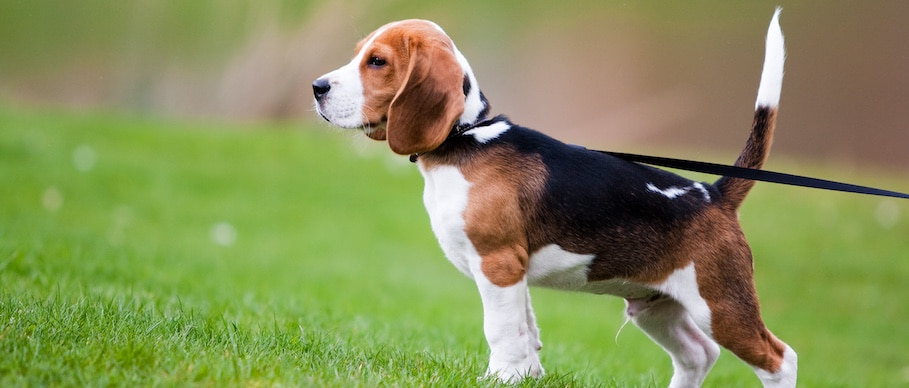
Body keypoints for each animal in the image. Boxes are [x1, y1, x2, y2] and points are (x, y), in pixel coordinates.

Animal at [312, 7, 796, 386]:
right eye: (358, 53)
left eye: (377, 61)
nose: (317, 87)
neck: (464, 139)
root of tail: (714, 194)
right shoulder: (514, 271)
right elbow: (525, 328)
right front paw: (524, 375)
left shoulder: (499, 264)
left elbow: (501, 330)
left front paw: (502, 378)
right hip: (656, 307)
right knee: (698, 356)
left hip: (719, 305)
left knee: (780, 359)